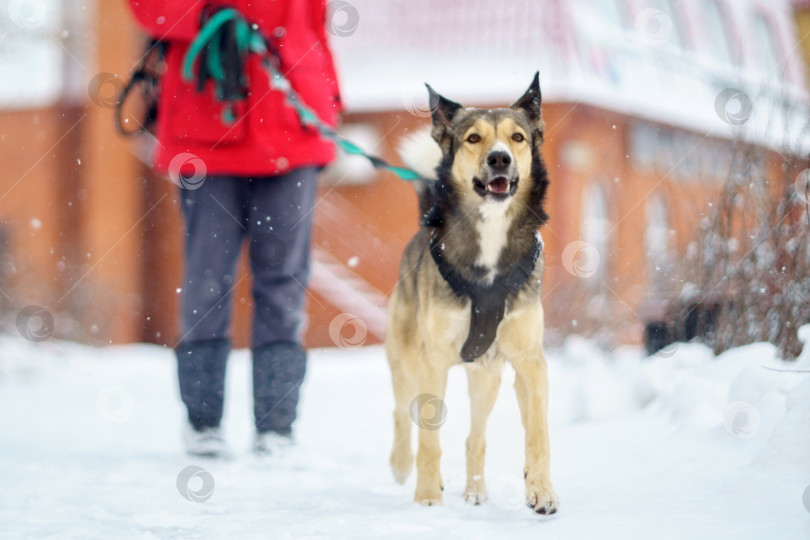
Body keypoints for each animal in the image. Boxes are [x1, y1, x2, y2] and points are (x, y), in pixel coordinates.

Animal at [384, 73, 556, 516]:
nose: (500, 159)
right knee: (402, 411)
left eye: (517, 137)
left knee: (474, 436)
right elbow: (428, 439)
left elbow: (538, 432)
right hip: (405, 357)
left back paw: (475, 491)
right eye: (473, 138)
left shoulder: (530, 361)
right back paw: (402, 466)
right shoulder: (433, 361)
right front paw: (427, 497)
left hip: (487, 376)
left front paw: (541, 491)